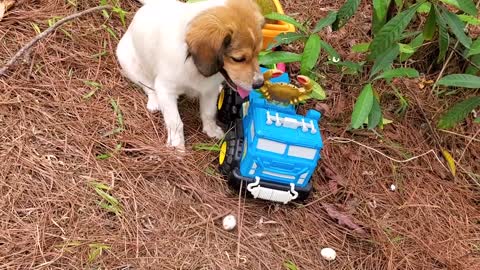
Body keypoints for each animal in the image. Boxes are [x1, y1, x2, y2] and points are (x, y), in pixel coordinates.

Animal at [116, 0, 266, 150]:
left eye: (258, 53)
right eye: (238, 59)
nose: (260, 83)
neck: (193, 65)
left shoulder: (209, 90)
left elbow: (209, 112)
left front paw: (211, 130)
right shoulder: (165, 90)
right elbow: (175, 122)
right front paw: (177, 145)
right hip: (129, 63)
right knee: (147, 85)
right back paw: (154, 101)